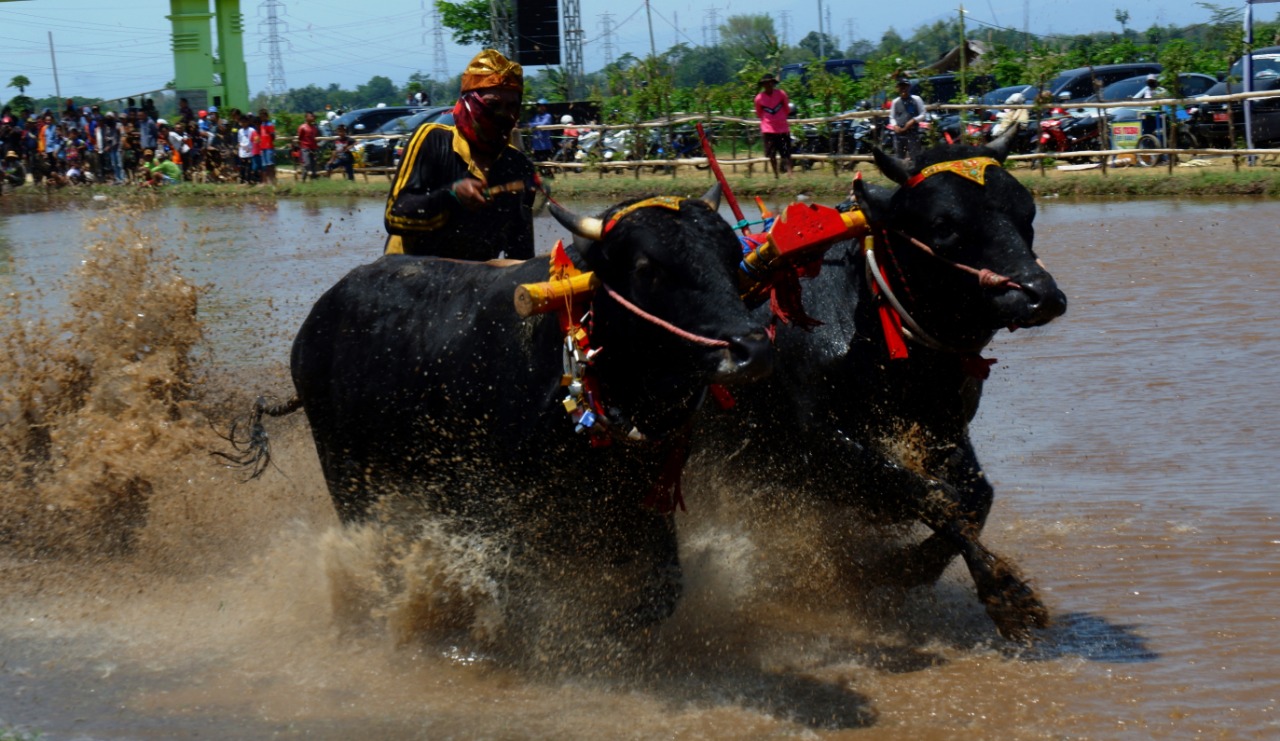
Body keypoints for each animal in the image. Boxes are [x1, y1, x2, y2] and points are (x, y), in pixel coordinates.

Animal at [270, 191, 768, 632]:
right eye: (649, 268)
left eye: (731, 258)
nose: (750, 347)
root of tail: (316, 321)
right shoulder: (505, 509)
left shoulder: (645, 499)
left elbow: (661, 590)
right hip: (346, 473)